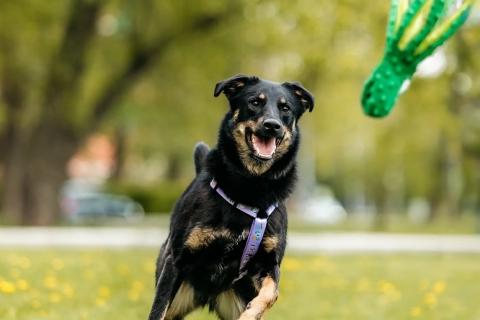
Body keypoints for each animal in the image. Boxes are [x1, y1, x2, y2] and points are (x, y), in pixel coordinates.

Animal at [148, 74, 314, 318]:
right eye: (255, 102)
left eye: (285, 108)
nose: (272, 125)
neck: (251, 186)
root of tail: (207, 297)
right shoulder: (175, 262)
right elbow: (157, 309)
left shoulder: (269, 264)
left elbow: (271, 292)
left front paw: (252, 312)